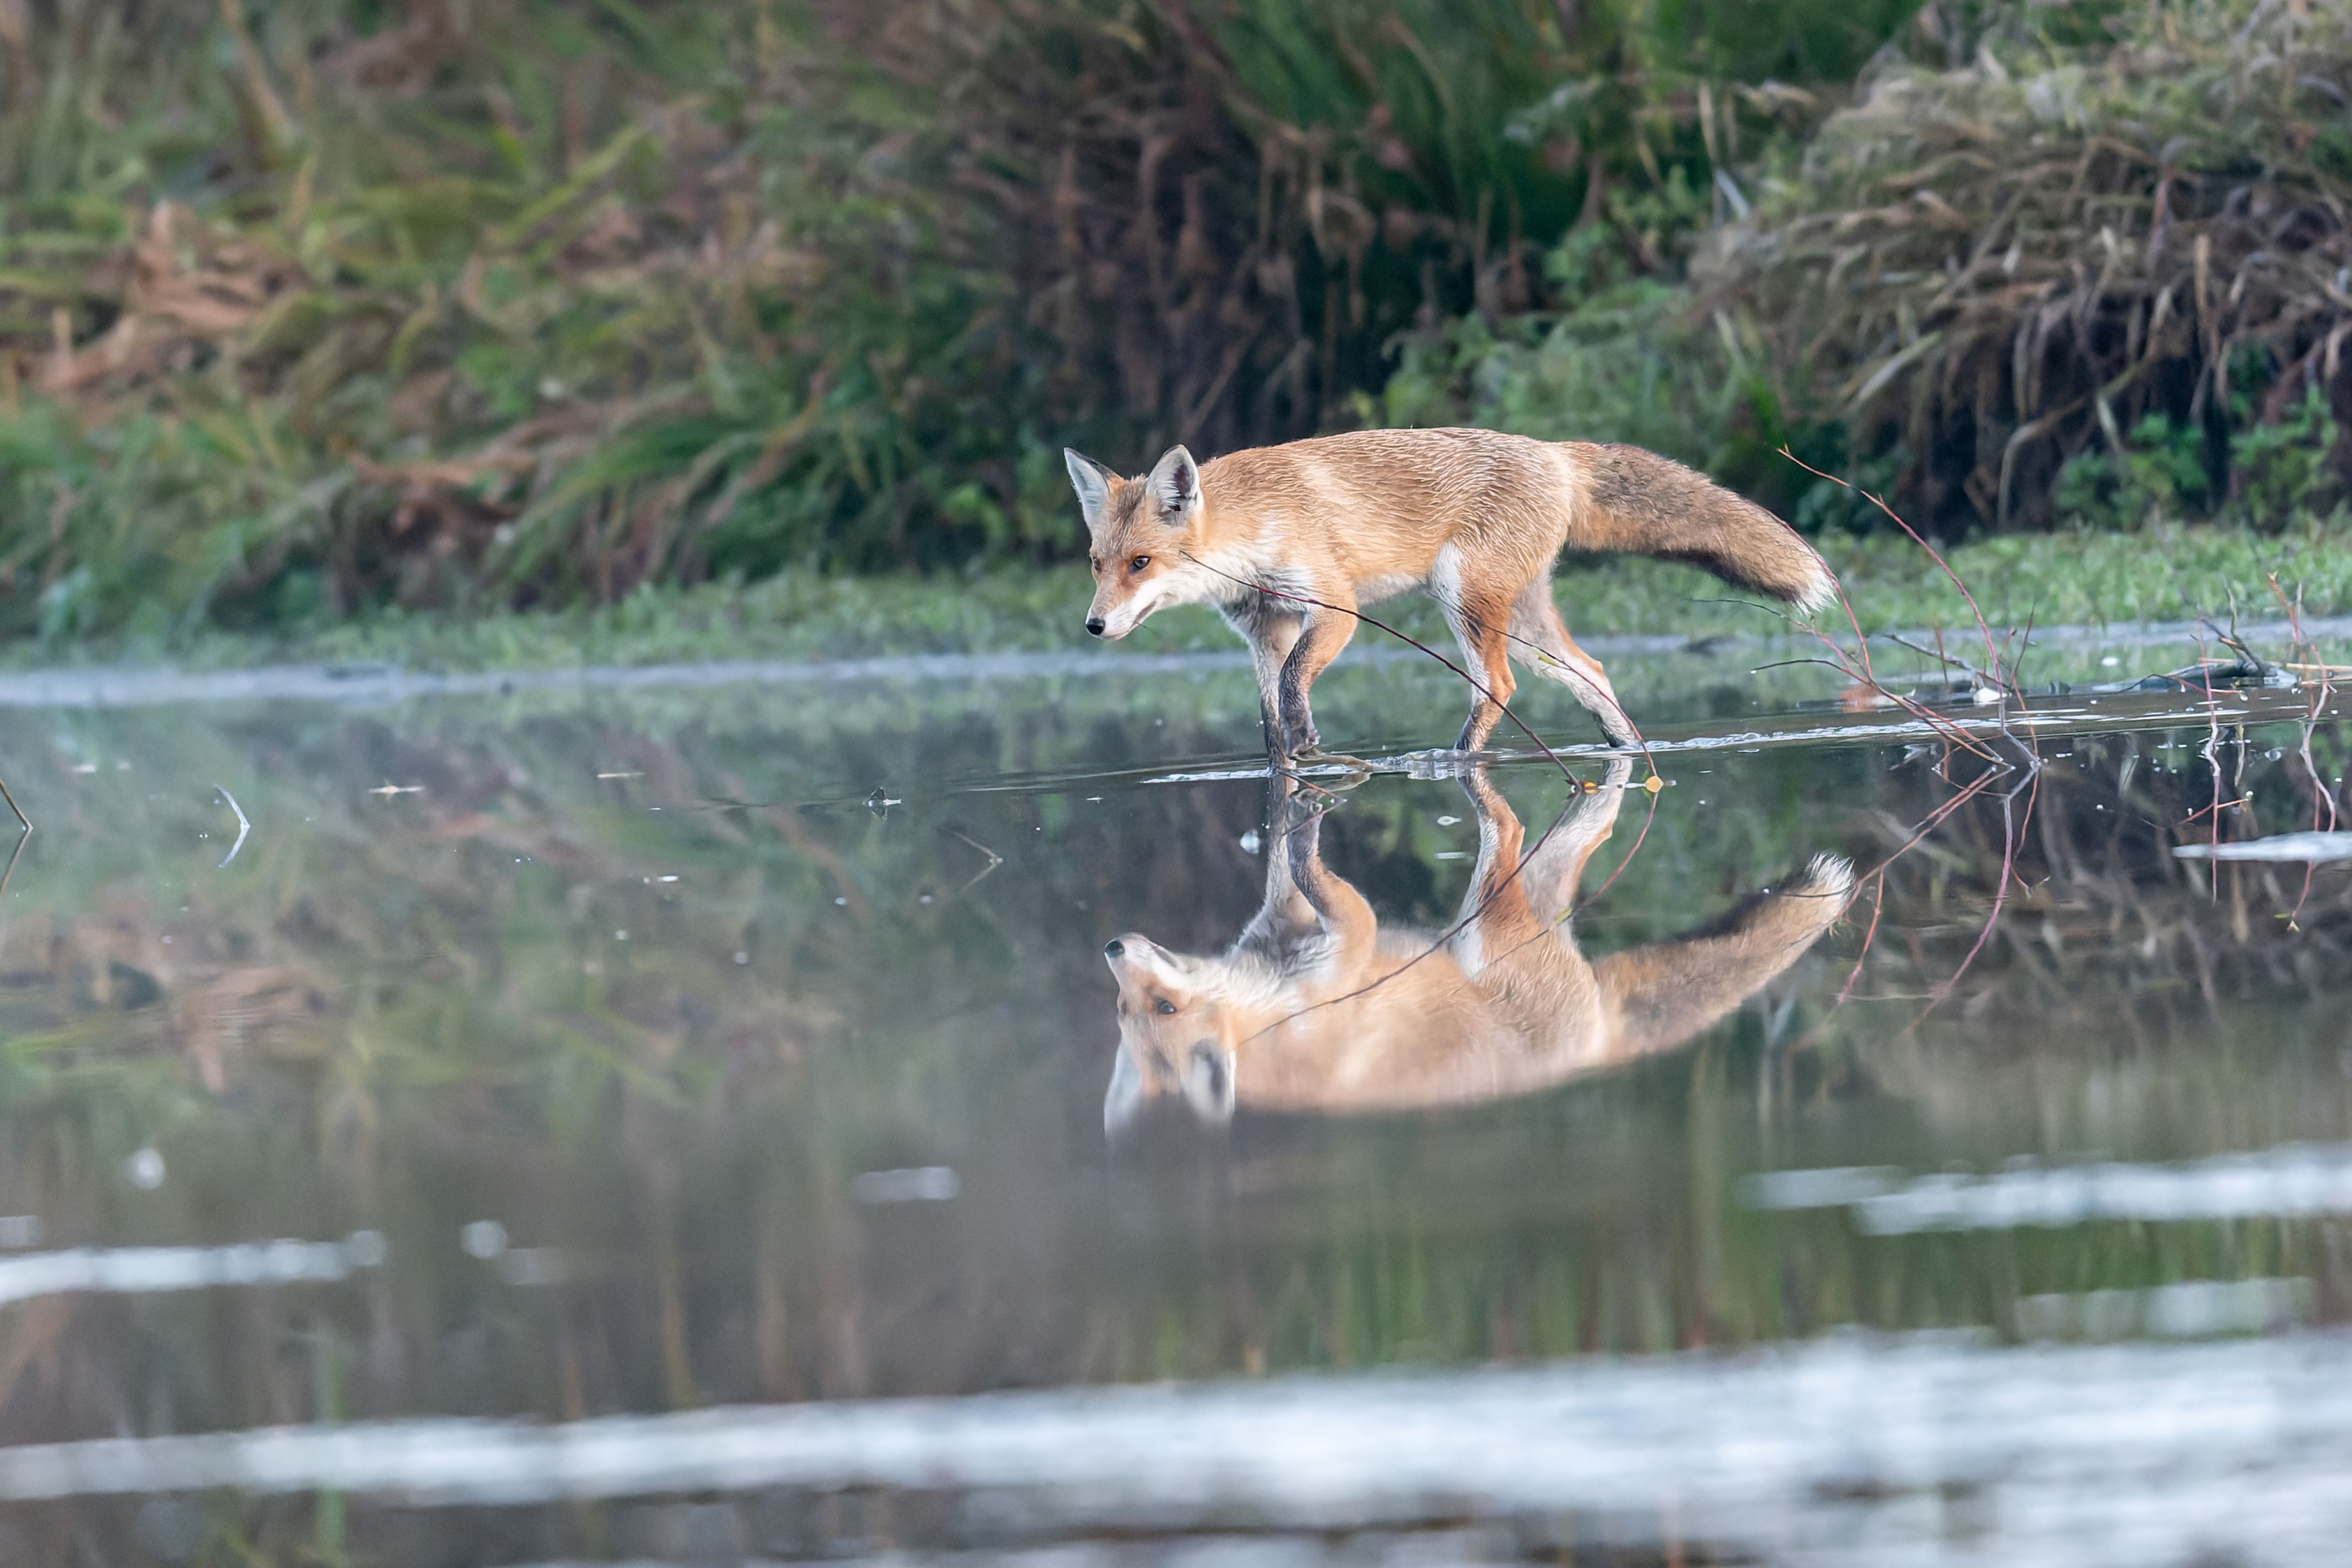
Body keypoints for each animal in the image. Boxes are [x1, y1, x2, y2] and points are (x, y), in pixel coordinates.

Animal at [1073, 423, 1835, 752]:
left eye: (1141, 562)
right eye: (1096, 563)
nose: (1093, 627)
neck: (1253, 526)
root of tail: (1554, 452)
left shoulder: (1335, 608)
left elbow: (1293, 687)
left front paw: (1310, 744)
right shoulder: (1265, 628)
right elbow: (1269, 720)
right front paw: (1293, 765)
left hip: (1462, 597)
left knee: (1497, 686)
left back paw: (1454, 761)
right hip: (1523, 625)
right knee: (1591, 672)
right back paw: (1627, 753)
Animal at [1101, 757, 1853, 1128]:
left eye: (1165, 1006)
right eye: (1124, 1011)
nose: (1112, 945)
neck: (1277, 1020)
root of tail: (1592, 1048)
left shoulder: (1349, 938)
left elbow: (1309, 871)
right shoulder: (1280, 935)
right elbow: (1286, 877)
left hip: (1491, 913)